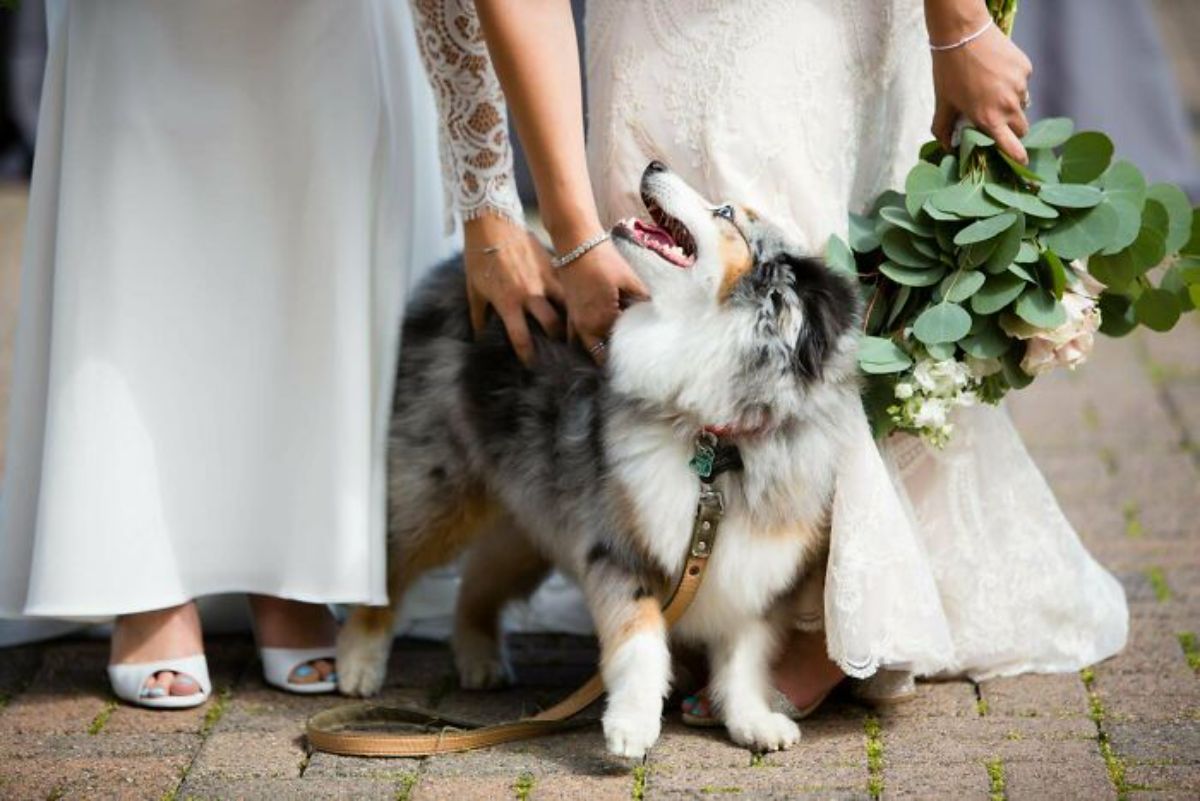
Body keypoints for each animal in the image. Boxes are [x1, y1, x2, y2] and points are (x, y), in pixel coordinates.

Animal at [338, 163, 864, 757]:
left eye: (727, 212)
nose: (654, 165)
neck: (714, 438)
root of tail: (453, 271)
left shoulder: (755, 563)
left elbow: (745, 655)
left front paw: (752, 718)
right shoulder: (617, 544)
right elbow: (641, 640)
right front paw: (631, 724)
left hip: (530, 520)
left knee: (477, 580)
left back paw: (478, 658)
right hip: (437, 489)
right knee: (388, 565)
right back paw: (357, 663)